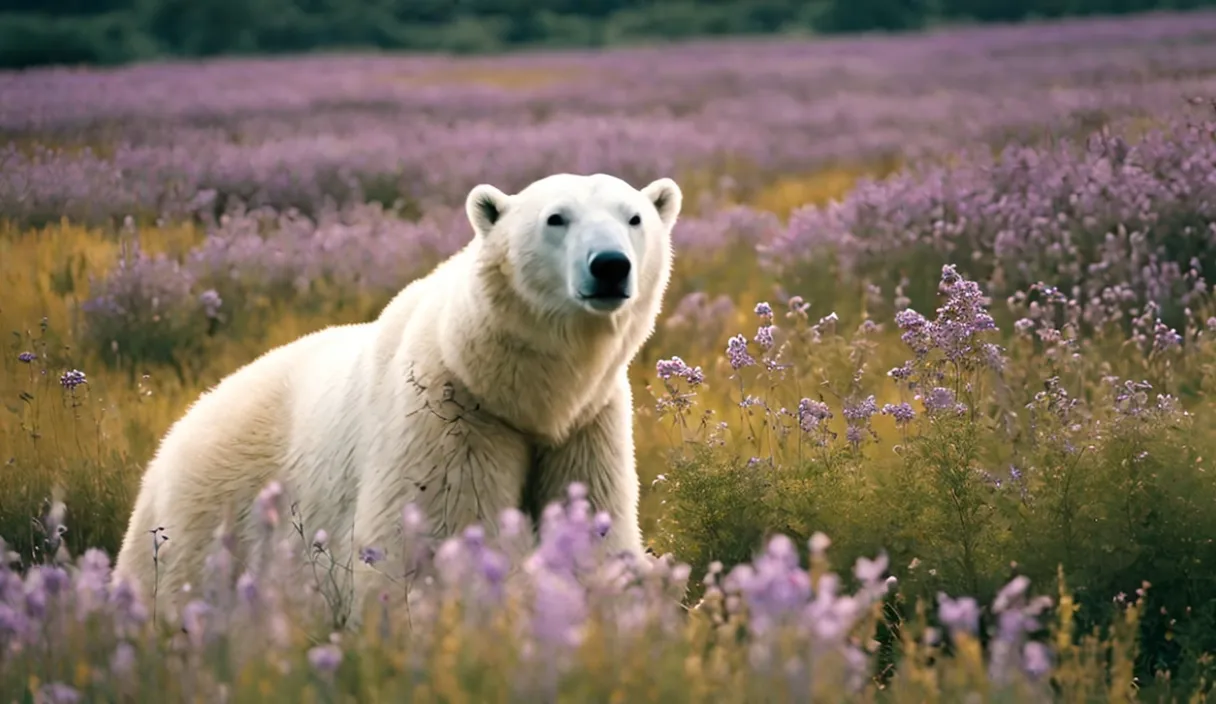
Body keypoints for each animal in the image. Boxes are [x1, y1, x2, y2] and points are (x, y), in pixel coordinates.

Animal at [111, 173, 685, 627]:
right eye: (556, 218)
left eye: (635, 217)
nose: (609, 265)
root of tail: (176, 430)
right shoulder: (449, 418)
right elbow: (431, 542)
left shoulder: (587, 427)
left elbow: (597, 525)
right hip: (210, 511)